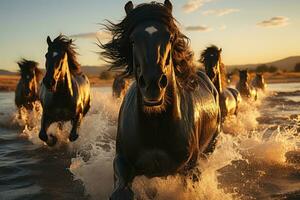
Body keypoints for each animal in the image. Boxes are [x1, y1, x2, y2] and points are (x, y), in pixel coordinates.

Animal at [101, 0, 220, 199]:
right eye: (132, 39)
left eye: (170, 38)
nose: (153, 84)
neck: (155, 125)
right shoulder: (122, 162)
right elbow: (122, 191)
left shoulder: (190, 169)